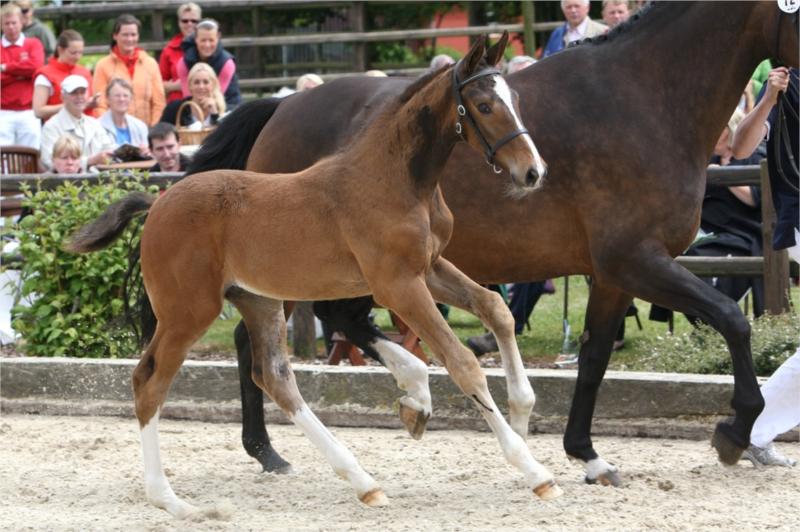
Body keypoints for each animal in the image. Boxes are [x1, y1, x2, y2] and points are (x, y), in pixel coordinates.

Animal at [69, 35, 564, 516]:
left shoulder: (429, 267)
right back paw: (171, 500)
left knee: (273, 377)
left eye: (516, 99)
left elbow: (495, 308)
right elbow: (462, 363)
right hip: (188, 312)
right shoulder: (397, 284)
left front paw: (520, 416)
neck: (397, 181)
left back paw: (361, 481)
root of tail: (157, 204)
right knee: (149, 382)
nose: (533, 171)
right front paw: (532, 469)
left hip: (258, 300)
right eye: (483, 105)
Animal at [186, 1, 792, 486]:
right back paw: (273, 448)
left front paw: (587, 455)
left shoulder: (614, 273)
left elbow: (595, 352)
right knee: (277, 338)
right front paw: (736, 429)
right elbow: (731, 319)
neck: (643, 98)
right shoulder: (637, 260)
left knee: (320, 326)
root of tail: (281, 106)